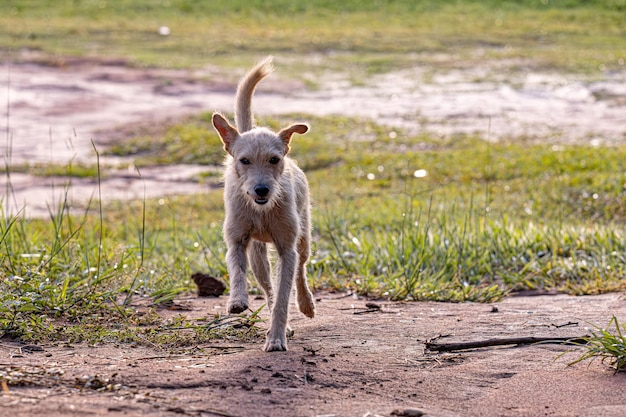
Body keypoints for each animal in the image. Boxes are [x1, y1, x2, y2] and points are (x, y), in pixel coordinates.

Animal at [212, 56, 314, 352]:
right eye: (244, 160)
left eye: (274, 160)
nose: (261, 189)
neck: (261, 210)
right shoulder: (236, 240)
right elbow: (237, 270)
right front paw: (237, 301)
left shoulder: (287, 250)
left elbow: (283, 297)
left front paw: (277, 337)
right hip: (258, 257)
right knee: (267, 285)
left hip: (303, 238)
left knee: (301, 269)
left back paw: (306, 304)